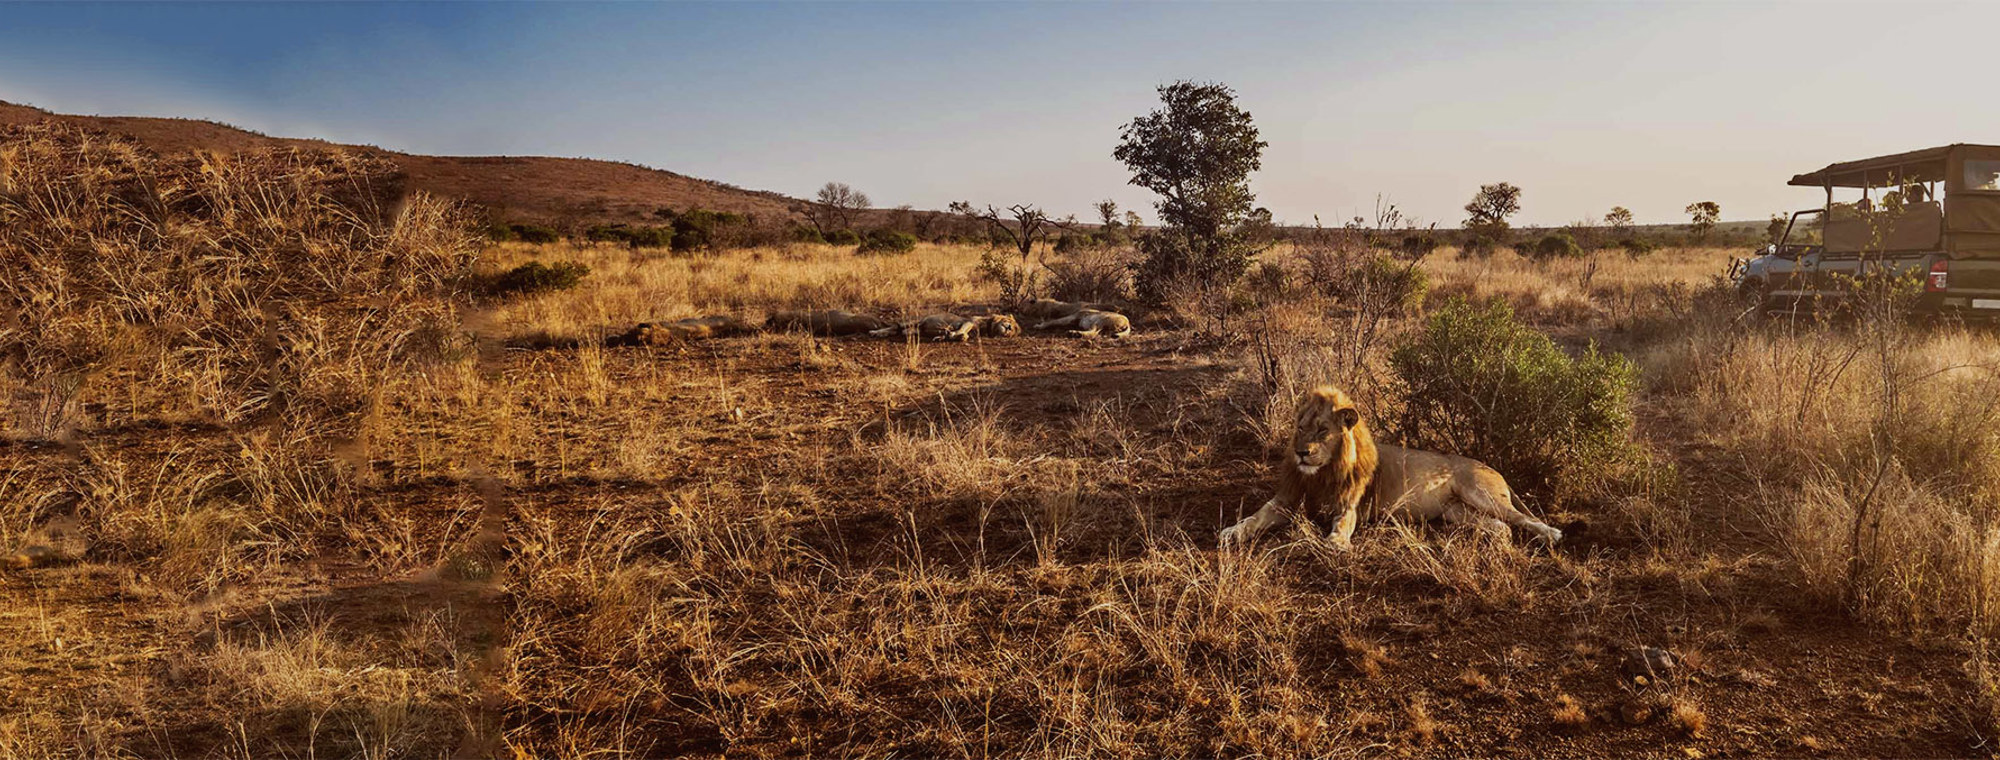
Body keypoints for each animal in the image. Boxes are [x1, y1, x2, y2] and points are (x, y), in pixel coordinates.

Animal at [1218, 384, 1562, 549]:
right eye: (1301, 428)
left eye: (1322, 431)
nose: (1302, 453)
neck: (1322, 474)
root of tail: (1491, 467)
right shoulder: (1286, 501)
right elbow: (1254, 517)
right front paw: (1232, 532)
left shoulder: (1348, 506)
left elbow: (1342, 524)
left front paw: (1336, 542)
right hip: (1457, 511)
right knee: (1503, 527)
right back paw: (1494, 539)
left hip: (1480, 493)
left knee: (1522, 518)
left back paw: (1552, 535)